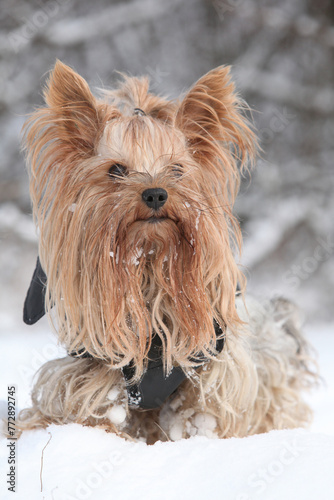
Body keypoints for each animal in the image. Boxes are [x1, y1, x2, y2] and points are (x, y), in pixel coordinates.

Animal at [17, 61, 316, 442]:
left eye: (177, 170)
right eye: (116, 170)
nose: (156, 193)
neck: (147, 264)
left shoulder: (212, 373)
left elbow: (200, 415)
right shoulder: (91, 368)